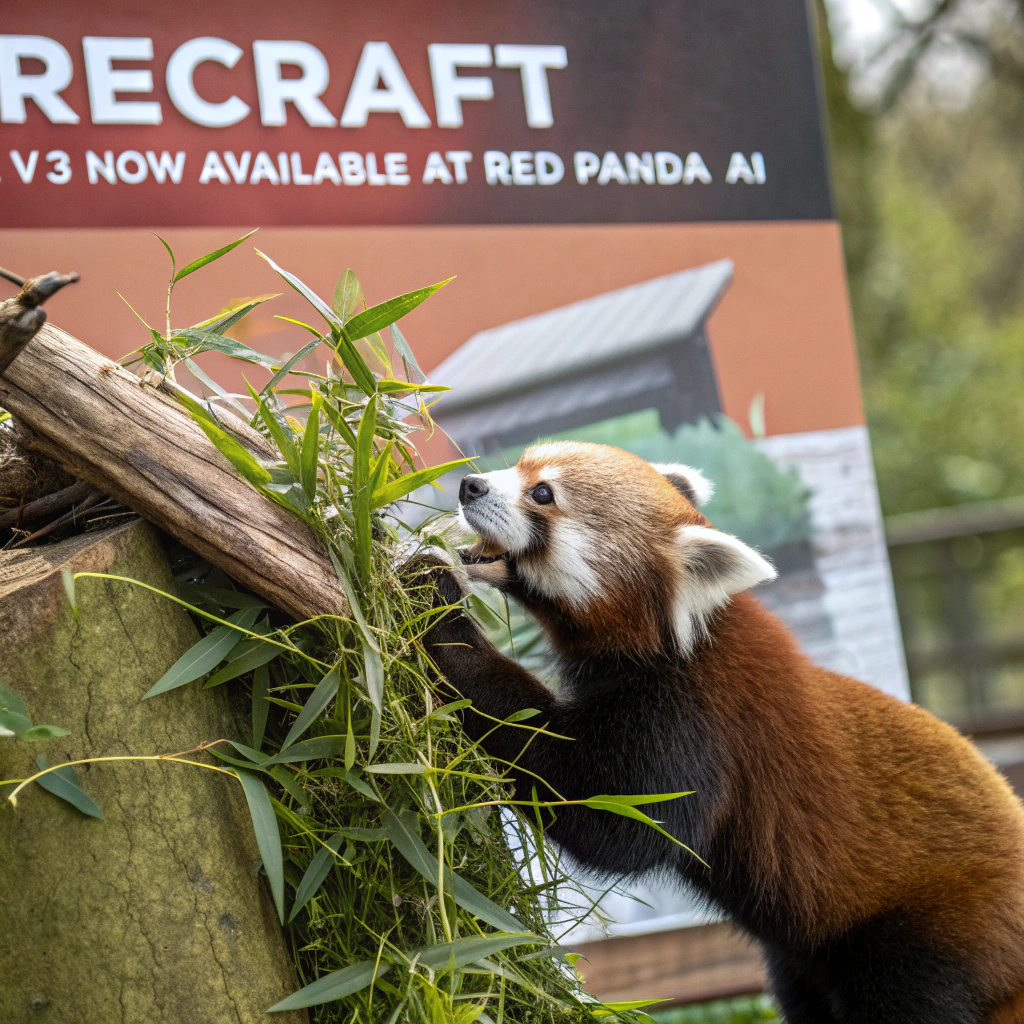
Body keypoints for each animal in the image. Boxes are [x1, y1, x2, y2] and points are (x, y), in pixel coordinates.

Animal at [419, 440, 1024, 1024]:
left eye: (542, 493)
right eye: (518, 465)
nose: (470, 485)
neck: (681, 632)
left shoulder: (695, 722)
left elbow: (609, 816)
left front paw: (438, 609)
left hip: (929, 932)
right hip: (803, 961)